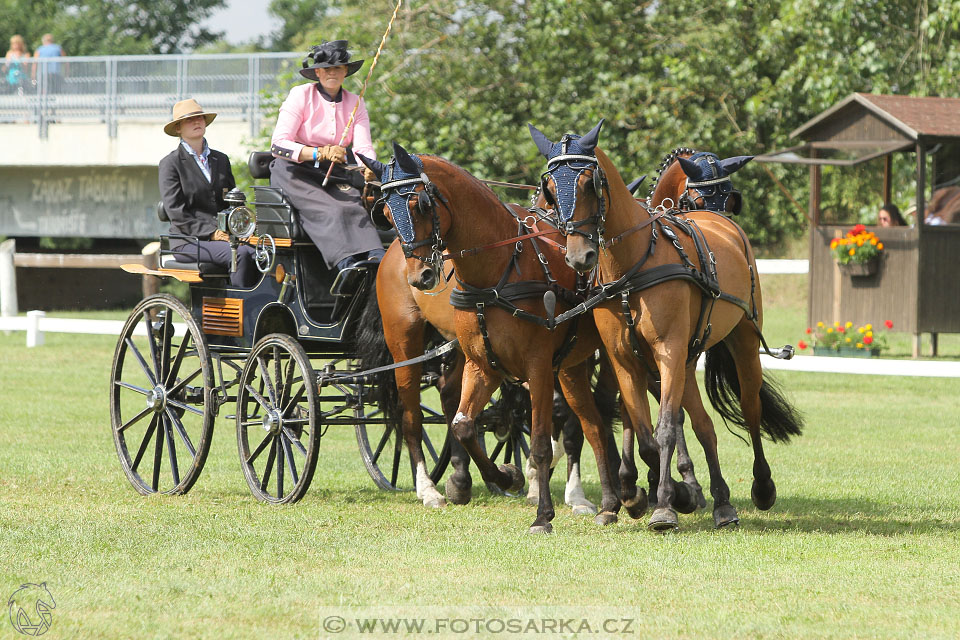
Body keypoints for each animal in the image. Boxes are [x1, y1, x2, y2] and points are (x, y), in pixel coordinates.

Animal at [360, 145, 624, 536]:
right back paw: (429, 489)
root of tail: (390, 252)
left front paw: (532, 497)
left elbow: (531, 438)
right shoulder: (490, 365)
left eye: (419, 205)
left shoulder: (533, 366)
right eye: (387, 211)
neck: (498, 270)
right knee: (410, 416)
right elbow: (468, 425)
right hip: (404, 343)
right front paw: (517, 482)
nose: (421, 276)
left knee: (591, 421)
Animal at [532, 120, 804, 528]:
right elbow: (646, 432)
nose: (580, 257)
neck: (631, 264)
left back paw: (760, 487)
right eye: (550, 187)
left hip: (740, 341)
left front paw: (665, 503)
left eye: (589, 183)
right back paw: (720, 501)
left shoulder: (668, 351)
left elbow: (665, 429)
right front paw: (662, 493)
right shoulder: (624, 359)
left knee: (749, 408)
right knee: (703, 424)